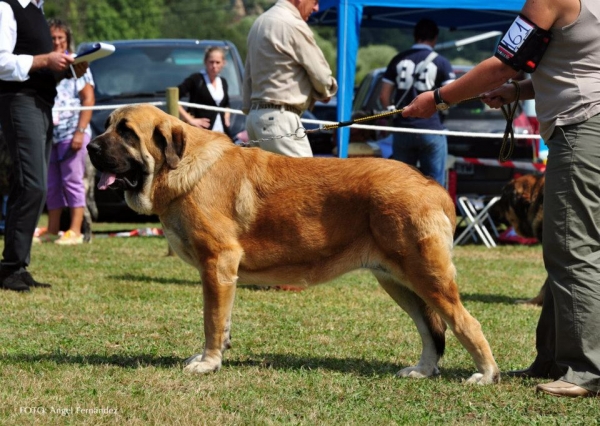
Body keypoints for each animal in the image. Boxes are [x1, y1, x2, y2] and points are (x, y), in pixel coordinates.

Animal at [88, 105, 502, 384]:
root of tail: (432, 186)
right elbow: (223, 320)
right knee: (432, 329)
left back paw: (486, 374)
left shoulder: (217, 263)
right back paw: (422, 369)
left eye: (126, 132)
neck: (179, 167)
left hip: (426, 275)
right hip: (397, 280)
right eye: (106, 126)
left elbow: (211, 320)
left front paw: (208, 362)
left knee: (465, 322)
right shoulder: (223, 275)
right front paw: (218, 353)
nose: (90, 148)